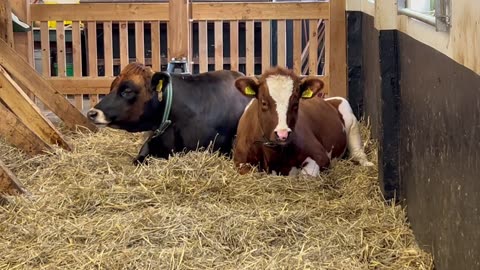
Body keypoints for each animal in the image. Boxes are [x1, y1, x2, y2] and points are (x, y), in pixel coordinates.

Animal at [232, 66, 372, 176]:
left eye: (295, 103)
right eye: (264, 102)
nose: (282, 134)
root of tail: (328, 100)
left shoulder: (321, 156)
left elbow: (305, 175)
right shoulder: (240, 161)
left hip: (350, 117)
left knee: (358, 152)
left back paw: (368, 164)